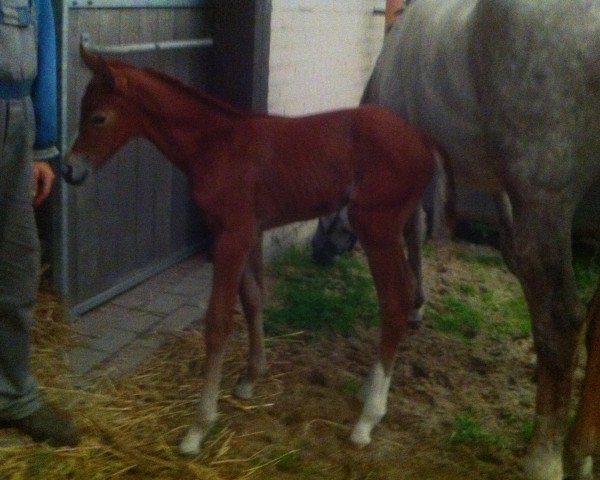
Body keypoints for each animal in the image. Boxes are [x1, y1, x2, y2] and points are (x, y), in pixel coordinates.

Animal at [314, 0, 600, 480]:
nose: (316, 254)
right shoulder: (499, 194)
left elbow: (413, 235)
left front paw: (414, 307)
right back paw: (580, 452)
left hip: (544, 204)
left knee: (562, 322)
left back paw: (543, 457)